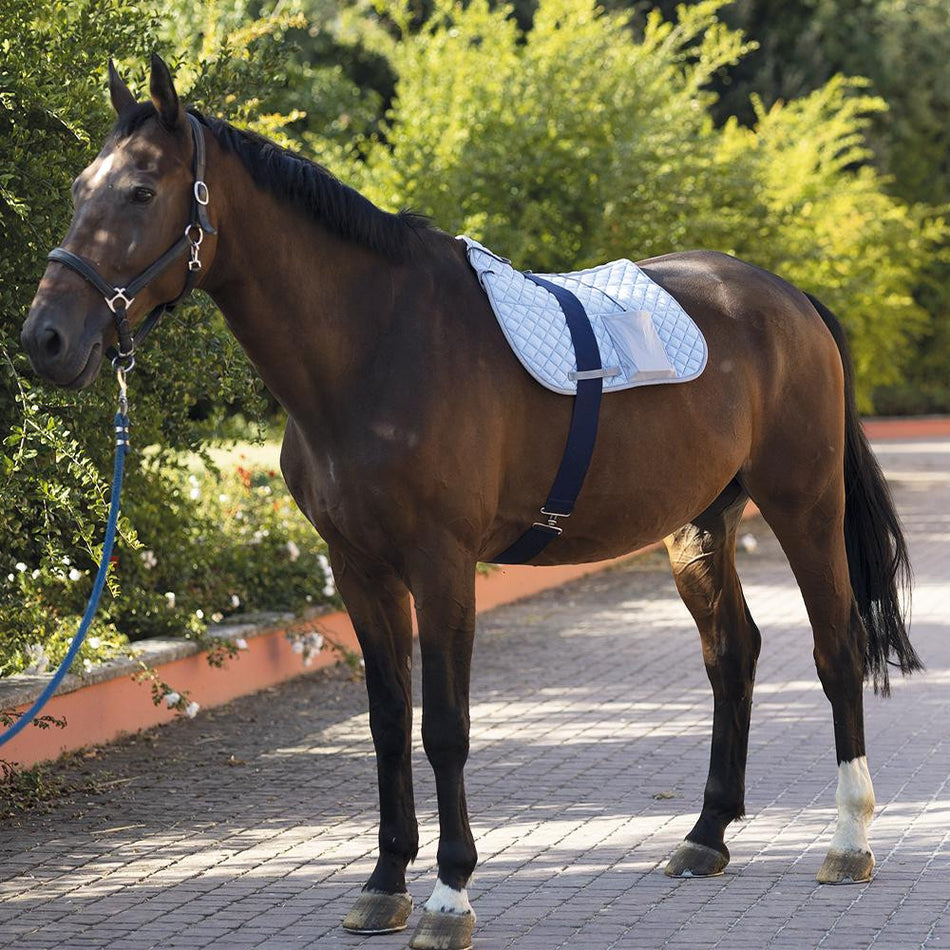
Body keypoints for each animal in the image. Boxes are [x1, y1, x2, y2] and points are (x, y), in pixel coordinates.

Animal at [21, 55, 919, 950]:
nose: (45, 339)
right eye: (77, 186)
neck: (375, 346)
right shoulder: (359, 569)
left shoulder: (443, 565)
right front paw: (384, 883)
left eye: (141, 190)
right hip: (697, 526)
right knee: (732, 653)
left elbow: (444, 728)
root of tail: (789, 298)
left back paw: (847, 841)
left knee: (836, 651)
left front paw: (449, 896)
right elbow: (389, 722)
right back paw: (705, 837)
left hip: (804, 508)